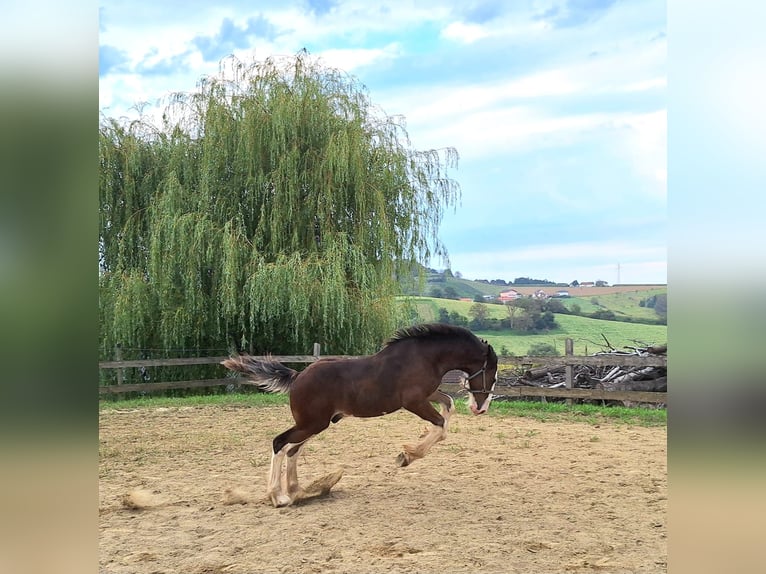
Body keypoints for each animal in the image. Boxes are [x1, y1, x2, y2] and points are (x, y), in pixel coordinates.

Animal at [222, 324, 500, 508]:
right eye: (493, 375)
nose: (481, 408)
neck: (425, 357)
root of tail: (298, 376)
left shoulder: (428, 395)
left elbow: (448, 406)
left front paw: (408, 453)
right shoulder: (413, 401)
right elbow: (441, 425)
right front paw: (406, 456)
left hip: (314, 424)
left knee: (293, 450)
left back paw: (297, 491)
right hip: (312, 423)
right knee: (280, 443)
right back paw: (278, 497)